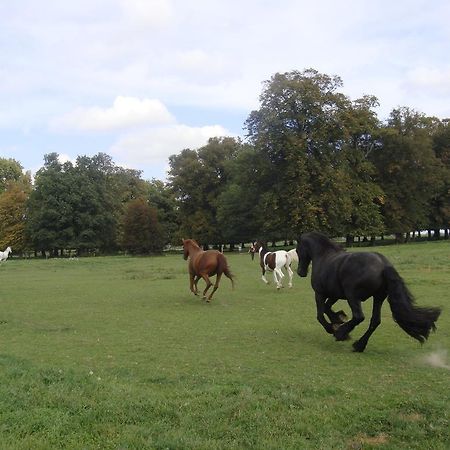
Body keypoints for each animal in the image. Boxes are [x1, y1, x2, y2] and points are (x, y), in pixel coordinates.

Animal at [298, 232, 442, 352]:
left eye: (298, 250)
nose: (300, 272)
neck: (323, 256)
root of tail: (384, 265)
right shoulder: (335, 295)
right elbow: (327, 308)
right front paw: (338, 319)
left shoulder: (320, 293)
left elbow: (320, 315)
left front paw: (333, 327)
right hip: (378, 297)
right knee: (375, 321)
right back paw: (359, 345)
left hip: (353, 296)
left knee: (359, 317)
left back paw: (341, 334)